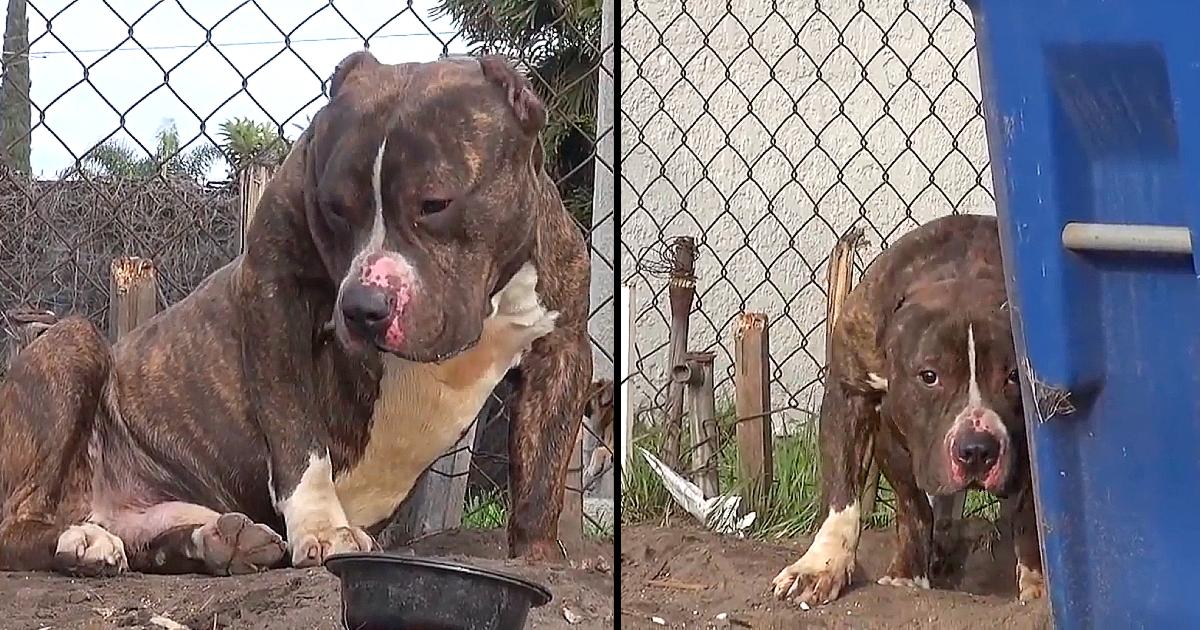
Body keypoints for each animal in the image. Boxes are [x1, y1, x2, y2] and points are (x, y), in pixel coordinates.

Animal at [0, 51, 592, 578]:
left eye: (435, 203)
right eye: (334, 207)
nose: (362, 307)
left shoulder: (562, 349)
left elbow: (542, 476)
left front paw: (538, 557)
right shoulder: (273, 296)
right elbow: (298, 437)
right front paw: (323, 529)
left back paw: (217, 541)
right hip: (71, 342)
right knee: (16, 522)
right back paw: (81, 542)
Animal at [772, 214, 1046, 604]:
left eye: (1012, 377)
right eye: (929, 376)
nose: (977, 450)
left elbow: (1030, 512)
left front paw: (1037, 585)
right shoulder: (852, 394)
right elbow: (867, 497)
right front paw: (825, 565)